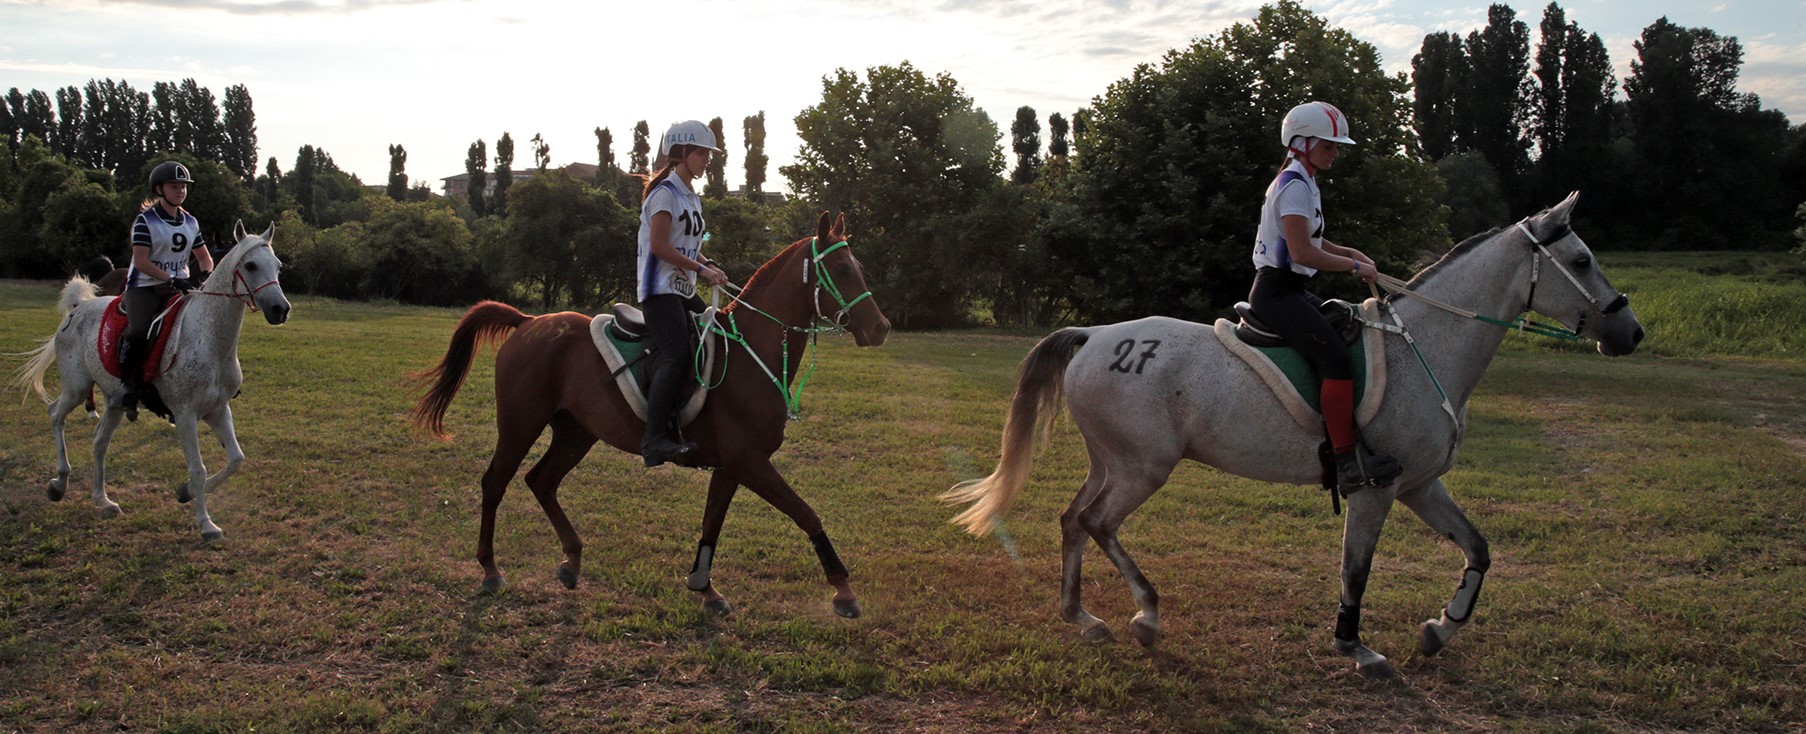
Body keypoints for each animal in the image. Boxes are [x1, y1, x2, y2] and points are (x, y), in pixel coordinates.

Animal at [13, 220, 288, 542]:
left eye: (278, 266)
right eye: (251, 265)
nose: (280, 309)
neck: (208, 339)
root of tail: (78, 308)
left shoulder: (218, 409)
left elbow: (235, 459)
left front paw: (185, 493)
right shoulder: (185, 415)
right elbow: (198, 469)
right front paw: (206, 524)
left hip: (115, 402)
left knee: (99, 442)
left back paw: (102, 500)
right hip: (77, 387)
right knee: (56, 414)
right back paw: (59, 483)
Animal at [411, 212, 888, 618]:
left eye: (858, 266)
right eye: (842, 270)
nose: (880, 327)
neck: (750, 354)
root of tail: (527, 321)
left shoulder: (731, 467)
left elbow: (712, 524)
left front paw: (705, 587)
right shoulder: (750, 462)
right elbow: (806, 513)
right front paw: (843, 591)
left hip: (576, 432)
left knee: (540, 481)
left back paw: (572, 560)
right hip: (519, 423)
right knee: (495, 483)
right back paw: (491, 569)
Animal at [953, 193, 1647, 676]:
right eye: (1582, 260)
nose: (1631, 332)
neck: (1428, 347)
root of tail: (1095, 335)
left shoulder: (1420, 486)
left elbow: (1478, 549)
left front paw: (1438, 630)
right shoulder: (1377, 490)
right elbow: (1355, 570)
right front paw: (1356, 647)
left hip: (1112, 462)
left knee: (1074, 520)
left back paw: (1084, 617)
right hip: (1140, 468)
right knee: (1097, 523)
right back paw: (1145, 615)